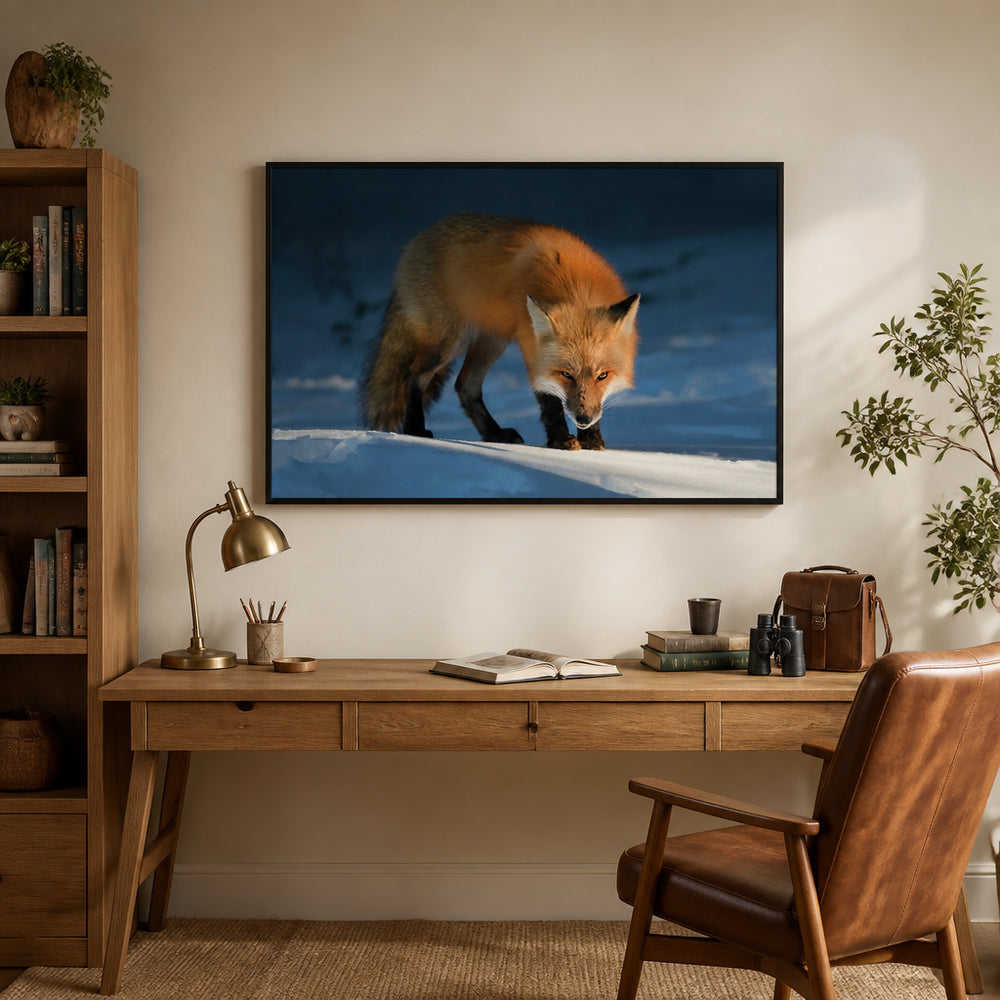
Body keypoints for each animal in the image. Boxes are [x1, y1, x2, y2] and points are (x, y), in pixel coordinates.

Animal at [360, 212, 639, 451]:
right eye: (565, 374)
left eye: (603, 376)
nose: (583, 418)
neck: (575, 287)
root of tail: (417, 240)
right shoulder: (531, 345)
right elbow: (548, 400)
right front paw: (560, 441)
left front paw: (591, 439)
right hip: (448, 343)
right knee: (415, 374)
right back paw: (415, 429)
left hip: (492, 342)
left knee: (465, 386)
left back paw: (493, 433)